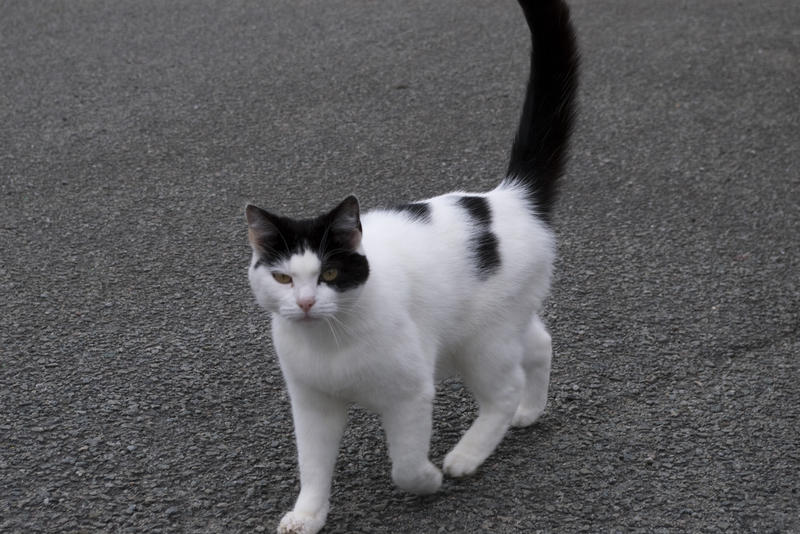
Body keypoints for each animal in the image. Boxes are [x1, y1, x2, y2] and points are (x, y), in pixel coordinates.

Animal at [247, 2, 580, 532]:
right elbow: (313, 465)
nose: (304, 302)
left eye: (330, 275)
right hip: (494, 325)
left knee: (503, 390)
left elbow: (403, 464)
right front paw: (308, 515)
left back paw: (467, 455)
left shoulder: (409, 394)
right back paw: (530, 410)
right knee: (539, 344)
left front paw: (427, 479)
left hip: (481, 344)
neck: (331, 340)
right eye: (282, 277)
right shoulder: (312, 403)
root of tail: (508, 198)